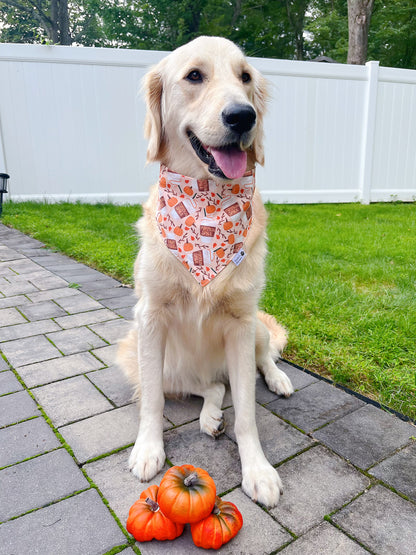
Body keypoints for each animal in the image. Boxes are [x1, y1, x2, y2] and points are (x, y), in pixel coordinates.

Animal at [116, 34, 292, 508]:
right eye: (194, 75)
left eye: (245, 77)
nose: (243, 116)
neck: (207, 202)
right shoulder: (150, 319)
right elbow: (152, 403)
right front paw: (147, 449)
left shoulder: (241, 323)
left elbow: (247, 411)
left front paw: (258, 470)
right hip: (161, 363)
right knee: (210, 386)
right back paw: (211, 415)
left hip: (256, 329)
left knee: (261, 361)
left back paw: (278, 379)